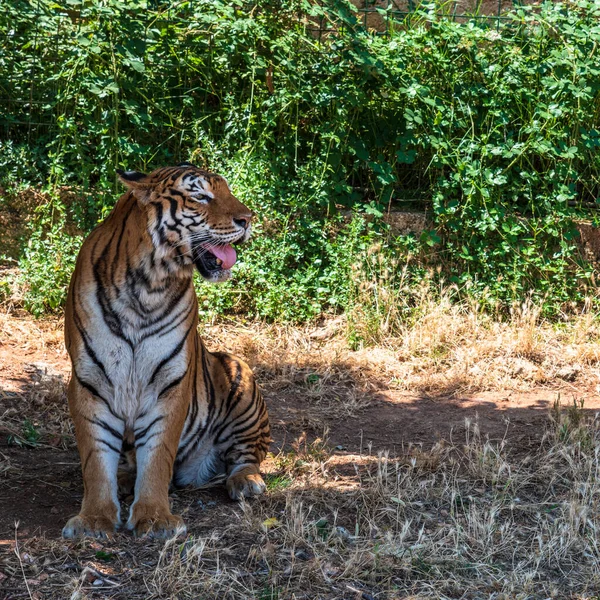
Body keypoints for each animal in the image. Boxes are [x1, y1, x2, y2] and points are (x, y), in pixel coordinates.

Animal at [60, 161, 270, 540]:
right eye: (201, 195)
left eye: (227, 191)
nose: (249, 218)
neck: (149, 284)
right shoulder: (89, 381)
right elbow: (95, 459)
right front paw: (94, 521)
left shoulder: (170, 382)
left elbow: (157, 456)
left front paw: (155, 519)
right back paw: (124, 479)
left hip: (239, 374)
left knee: (246, 455)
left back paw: (246, 483)